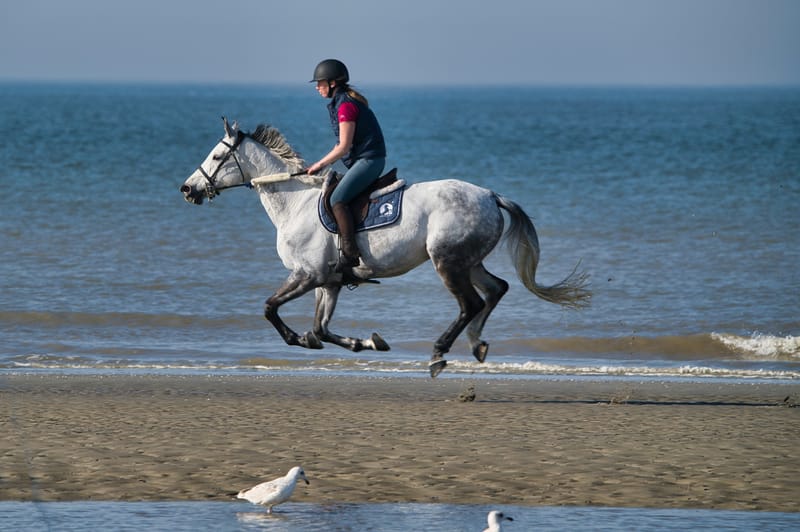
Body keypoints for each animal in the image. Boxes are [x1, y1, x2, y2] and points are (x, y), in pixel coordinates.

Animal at [180, 118, 591, 377]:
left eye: (216, 156)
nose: (188, 189)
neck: (294, 201)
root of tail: (491, 195)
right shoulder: (328, 282)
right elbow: (322, 329)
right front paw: (368, 343)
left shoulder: (307, 275)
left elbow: (271, 309)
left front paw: (299, 338)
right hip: (469, 260)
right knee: (496, 290)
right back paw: (476, 344)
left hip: (447, 262)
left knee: (471, 303)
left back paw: (439, 354)